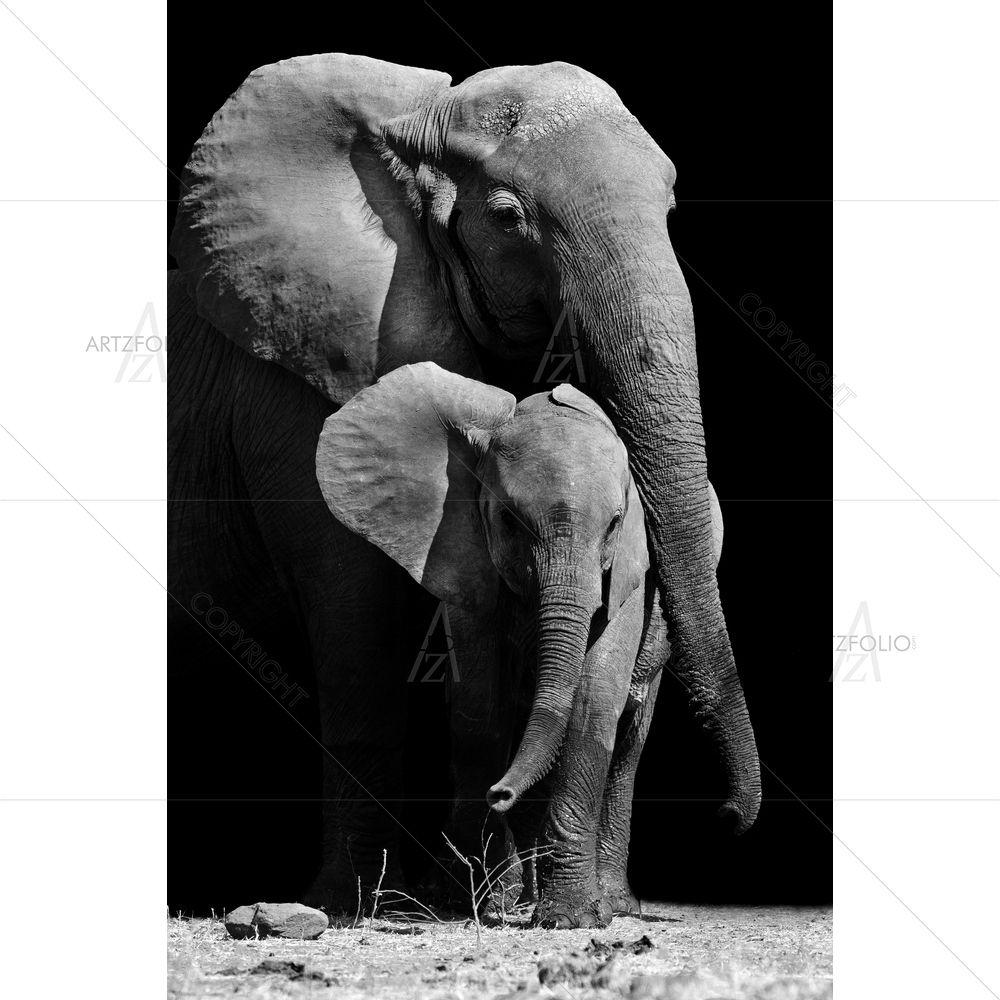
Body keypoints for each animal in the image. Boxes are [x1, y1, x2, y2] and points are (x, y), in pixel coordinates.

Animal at [168, 52, 760, 921]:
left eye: (671, 202)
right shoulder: (293, 378)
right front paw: (357, 904)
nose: (727, 818)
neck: (418, 116)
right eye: (508, 217)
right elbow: (355, 610)